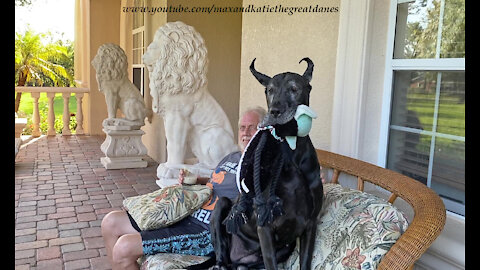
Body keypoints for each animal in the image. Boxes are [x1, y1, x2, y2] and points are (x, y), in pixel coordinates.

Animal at [209, 58, 324, 268]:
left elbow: (305, 261)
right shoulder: (265, 225)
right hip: (222, 207)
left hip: (284, 248)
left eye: (294, 88)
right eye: (269, 90)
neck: (292, 155)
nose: (274, 112)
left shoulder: (310, 224)